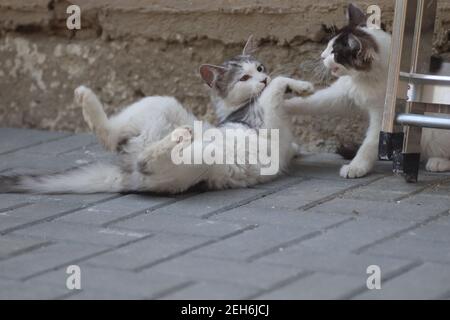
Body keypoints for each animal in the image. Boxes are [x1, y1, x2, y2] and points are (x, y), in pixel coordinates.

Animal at [0, 36, 312, 194]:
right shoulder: (266, 117)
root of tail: (125, 172)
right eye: (244, 77)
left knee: (140, 157)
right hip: (162, 106)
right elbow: (278, 85)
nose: (262, 77)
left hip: (185, 165)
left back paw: (177, 138)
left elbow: (292, 139)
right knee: (120, 144)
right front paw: (302, 86)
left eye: (259, 68)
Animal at [286, 3, 450, 178]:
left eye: (334, 52)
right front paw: (284, 104)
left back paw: (439, 161)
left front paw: (356, 166)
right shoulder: (344, 94)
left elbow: (371, 143)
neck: (363, 79)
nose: (322, 56)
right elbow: (314, 102)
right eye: (329, 45)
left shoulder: (385, 115)